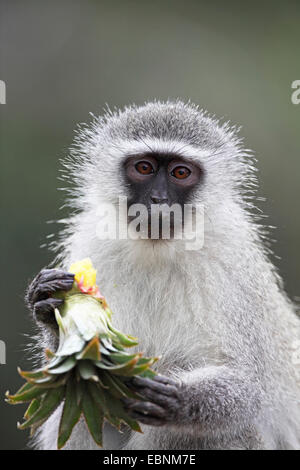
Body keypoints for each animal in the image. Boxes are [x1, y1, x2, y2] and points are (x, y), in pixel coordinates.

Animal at [26, 101, 300, 450]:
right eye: (143, 168)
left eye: (180, 173)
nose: (158, 201)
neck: (158, 249)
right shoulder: (90, 243)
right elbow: (69, 370)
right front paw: (49, 308)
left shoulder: (230, 262)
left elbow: (250, 386)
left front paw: (182, 400)